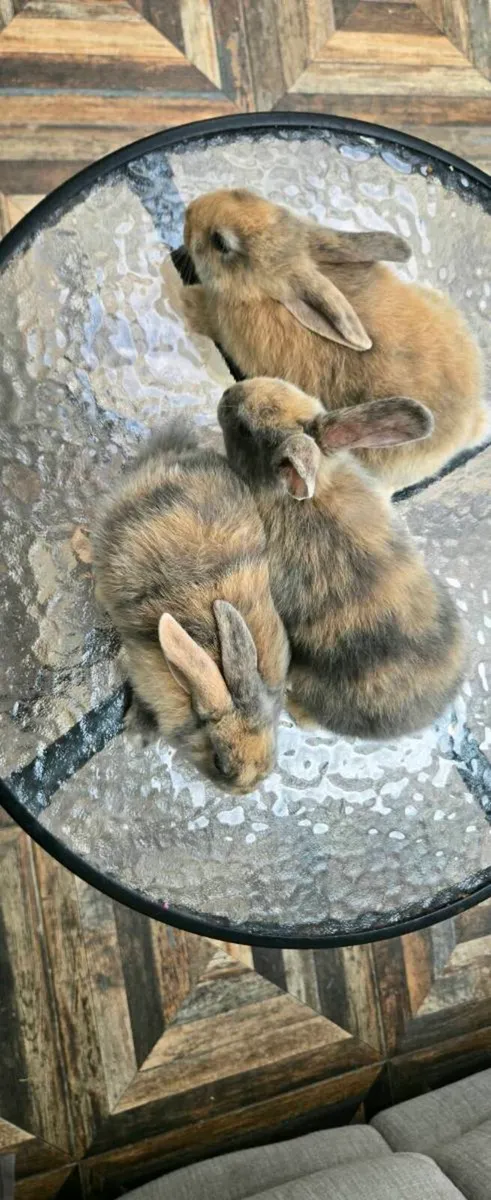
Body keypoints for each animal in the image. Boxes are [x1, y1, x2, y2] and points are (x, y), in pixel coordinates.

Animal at [183, 188, 487, 492]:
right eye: (244, 193)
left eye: (220, 242)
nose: (188, 212)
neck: (258, 293)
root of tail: (471, 424)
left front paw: (187, 301)